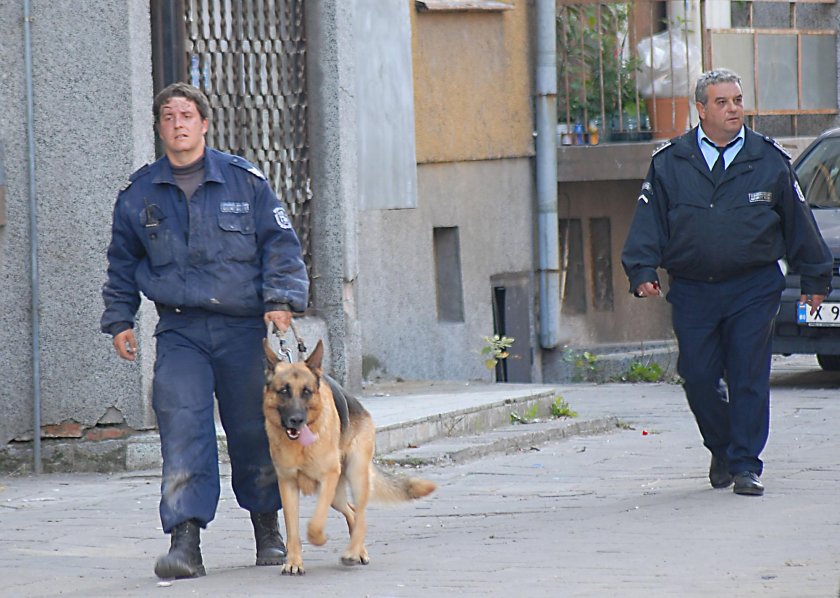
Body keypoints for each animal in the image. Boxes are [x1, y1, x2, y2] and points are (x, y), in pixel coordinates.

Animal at [262, 340, 436, 576]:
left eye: (307, 392)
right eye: (283, 391)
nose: (296, 420)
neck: (300, 447)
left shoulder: (327, 479)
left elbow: (315, 525)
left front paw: (320, 538)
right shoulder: (287, 485)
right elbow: (293, 532)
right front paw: (294, 562)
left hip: (355, 476)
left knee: (360, 515)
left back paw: (353, 552)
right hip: (337, 494)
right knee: (352, 512)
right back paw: (356, 550)